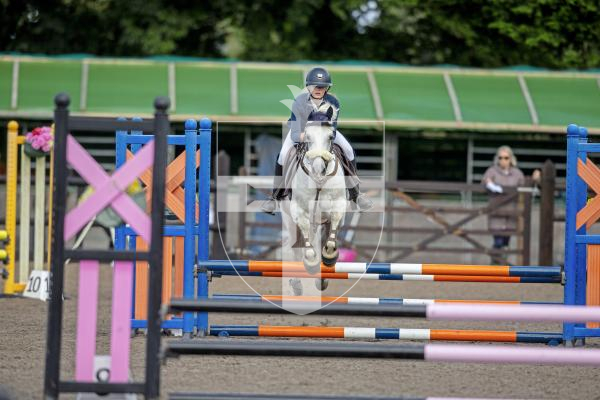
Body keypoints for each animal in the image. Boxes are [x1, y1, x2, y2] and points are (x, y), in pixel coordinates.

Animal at [290, 119, 346, 288]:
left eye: (330, 136)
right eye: (307, 136)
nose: (318, 168)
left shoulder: (338, 203)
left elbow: (335, 220)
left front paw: (329, 253)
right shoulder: (299, 210)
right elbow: (304, 230)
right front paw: (311, 260)